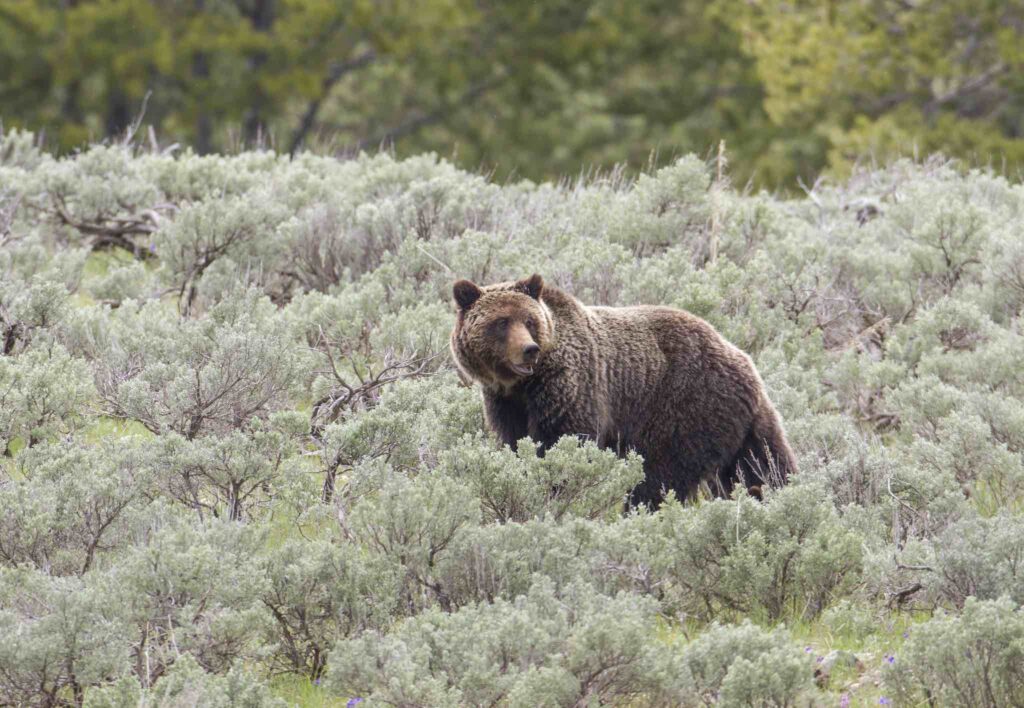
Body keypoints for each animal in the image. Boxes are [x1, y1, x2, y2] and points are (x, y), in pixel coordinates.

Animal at [449, 273, 797, 507]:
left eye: (529, 320)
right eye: (501, 322)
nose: (529, 350)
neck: (522, 385)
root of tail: (743, 361)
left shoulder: (571, 387)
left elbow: (564, 441)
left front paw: (558, 490)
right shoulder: (505, 403)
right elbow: (515, 443)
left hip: (685, 408)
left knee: (660, 475)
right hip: (742, 424)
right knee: (762, 465)